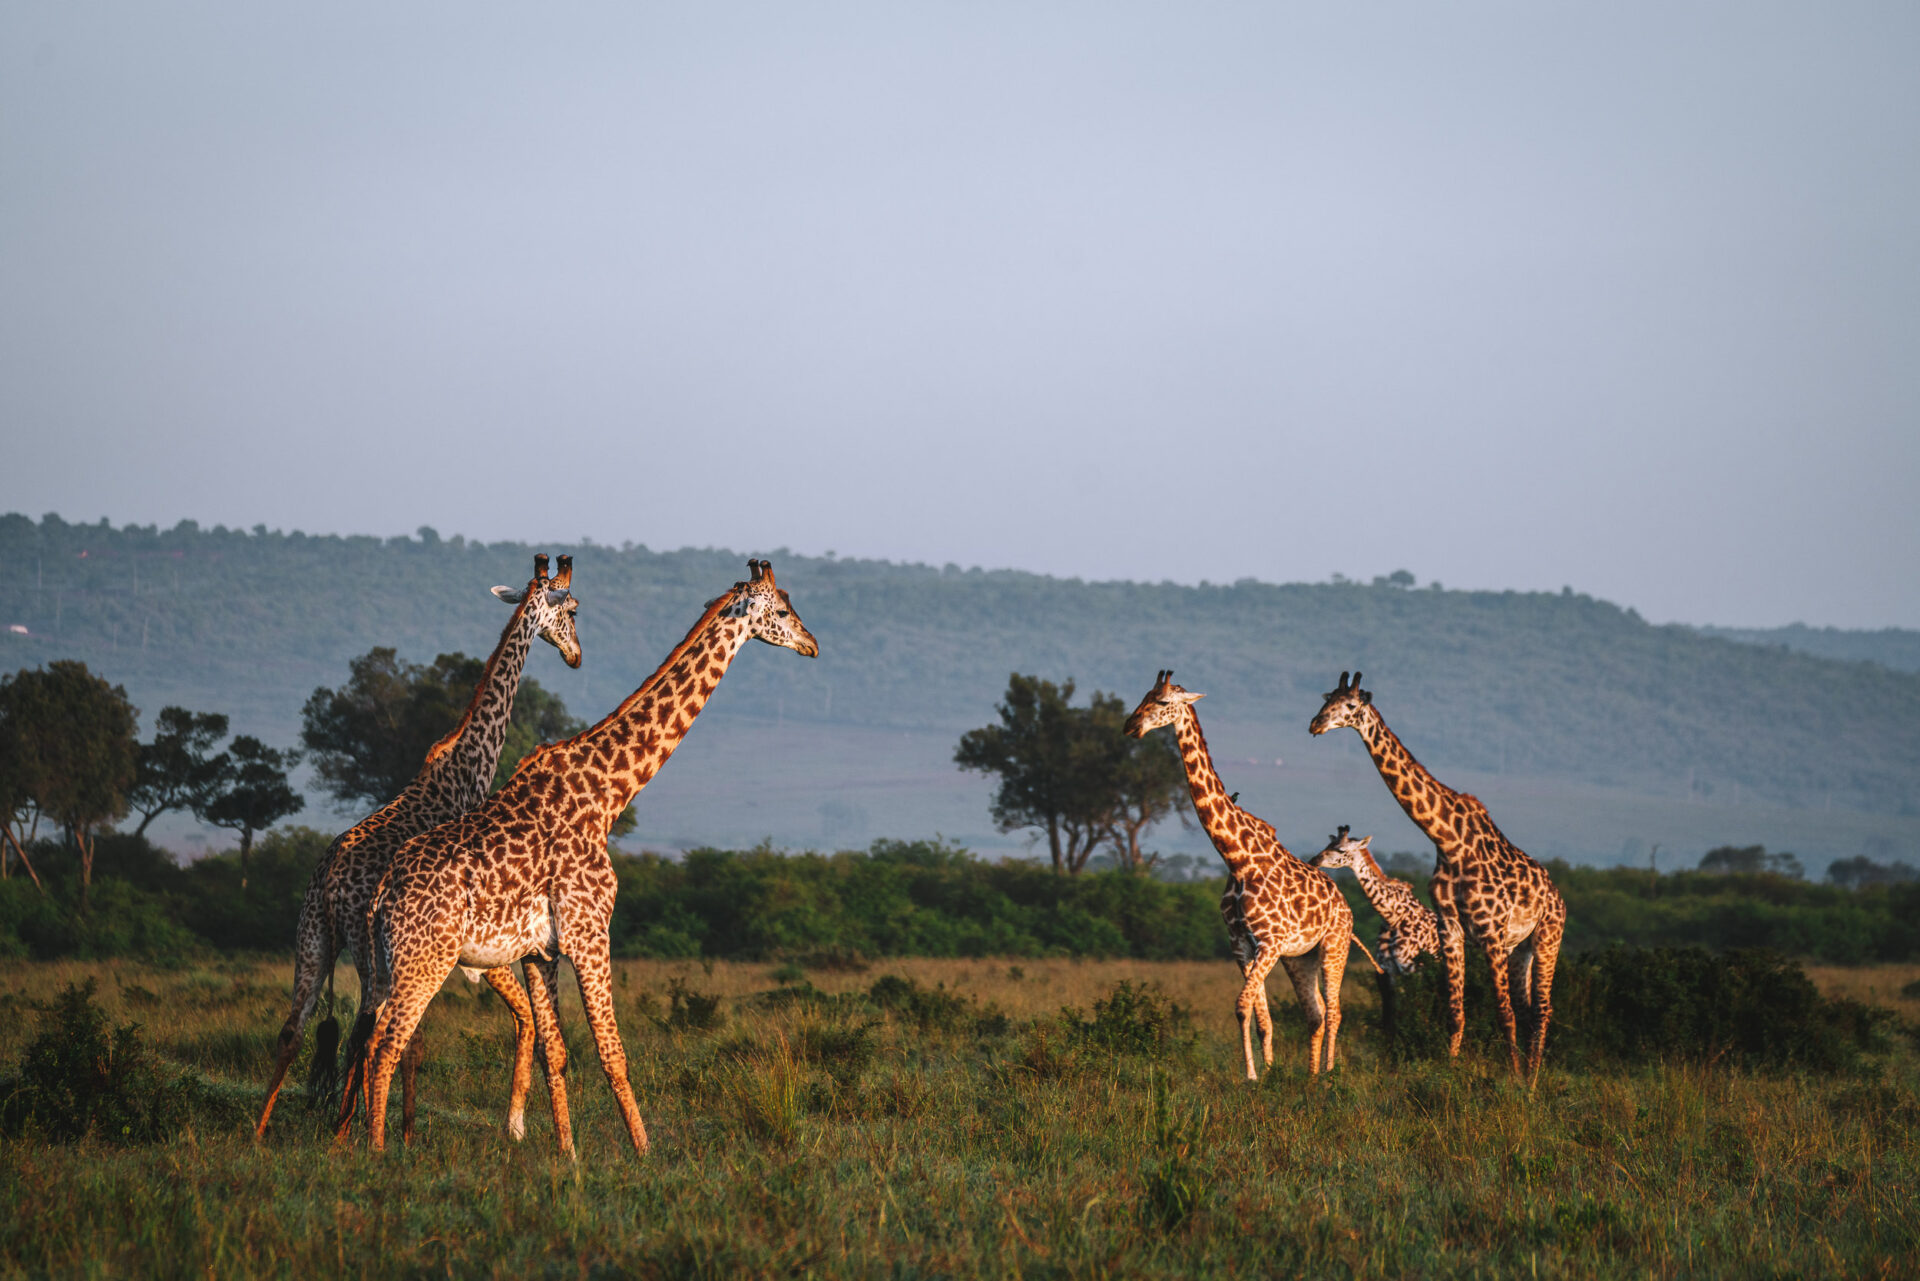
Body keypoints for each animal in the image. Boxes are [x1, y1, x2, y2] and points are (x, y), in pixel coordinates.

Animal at [257, 556, 583, 1136]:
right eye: (571, 610)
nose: (576, 656)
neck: (469, 762)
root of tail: (333, 883)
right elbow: (414, 1041)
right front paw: (406, 1132)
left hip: (312, 934)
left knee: (295, 1029)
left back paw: (262, 1133)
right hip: (368, 949)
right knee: (366, 1032)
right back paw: (348, 1131)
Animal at [357, 556, 814, 1160]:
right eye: (782, 609)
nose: (812, 644)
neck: (610, 792)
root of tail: (383, 894)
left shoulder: (539, 950)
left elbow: (556, 1051)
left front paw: (567, 1154)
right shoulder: (591, 931)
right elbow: (612, 1053)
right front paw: (644, 1153)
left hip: (392, 963)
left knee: (369, 1037)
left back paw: (354, 1142)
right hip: (425, 959)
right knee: (388, 1042)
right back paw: (378, 1154)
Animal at [1121, 672, 1374, 1083]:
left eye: (1162, 702)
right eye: (1145, 695)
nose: (1130, 726)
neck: (1238, 859)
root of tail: (1345, 905)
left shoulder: (1269, 943)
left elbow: (1242, 1006)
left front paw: (1254, 1076)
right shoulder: (1242, 945)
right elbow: (1258, 1017)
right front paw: (1265, 1073)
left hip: (1334, 946)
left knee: (1335, 1011)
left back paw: (1329, 1075)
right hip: (1300, 958)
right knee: (1316, 1013)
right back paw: (1310, 1076)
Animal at [1305, 825, 1443, 1044]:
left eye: (1341, 850)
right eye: (1328, 844)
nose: (1314, 860)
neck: (1393, 917)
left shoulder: (1412, 969)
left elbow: (1416, 1010)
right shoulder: (1386, 971)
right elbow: (1389, 1019)